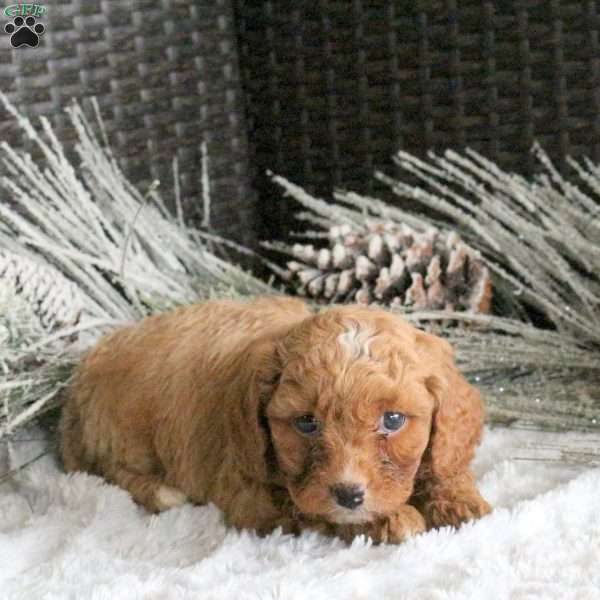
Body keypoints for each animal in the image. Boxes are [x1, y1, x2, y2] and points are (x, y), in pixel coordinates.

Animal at [61, 296, 490, 544]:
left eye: (394, 419)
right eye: (306, 423)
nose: (349, 495)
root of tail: (84, 370)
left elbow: (445, 463)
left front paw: (461, 501)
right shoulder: (252, 496)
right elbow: (312, 511)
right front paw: (393, 520)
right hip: (124, 434)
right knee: (113, 469)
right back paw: (163, 492)